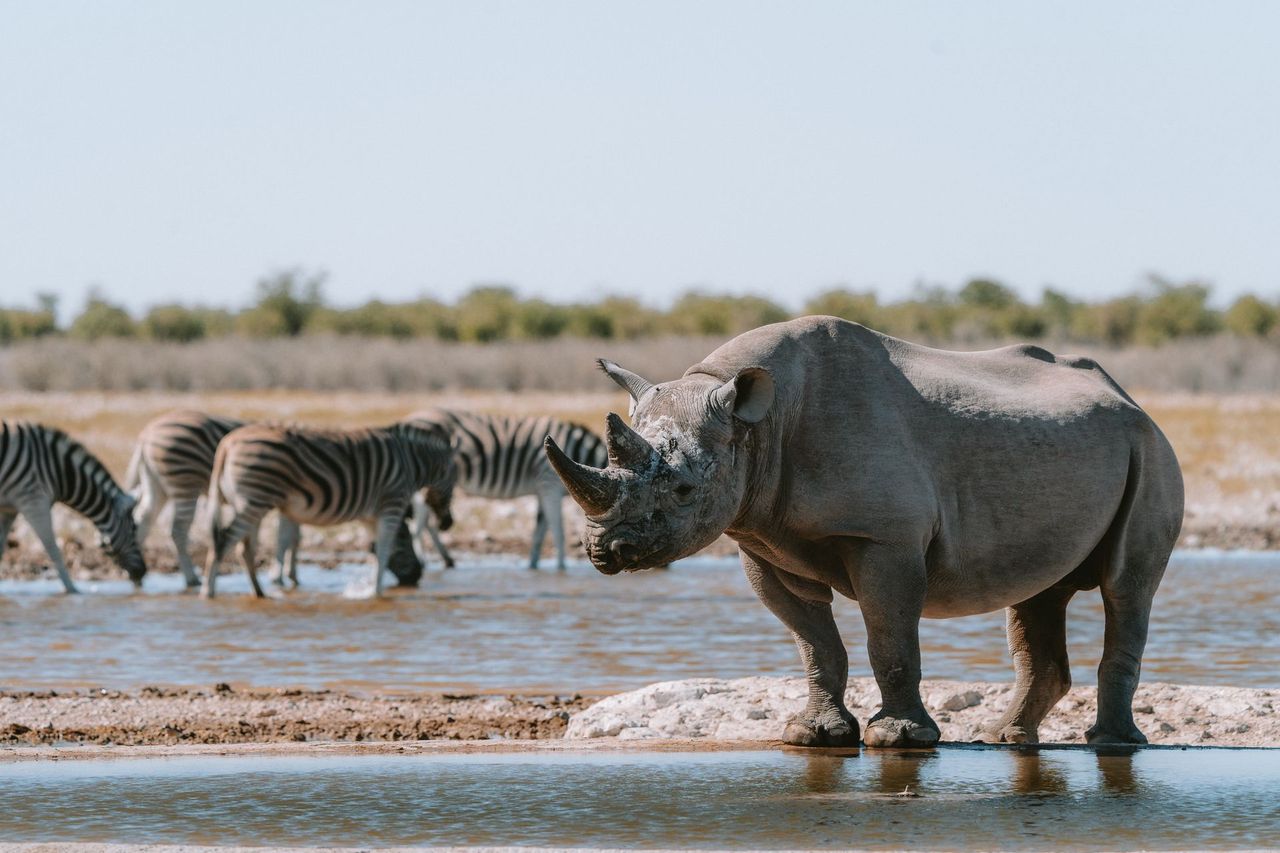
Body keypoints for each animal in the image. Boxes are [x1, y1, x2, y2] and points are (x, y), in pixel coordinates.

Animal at [0, 420, 146, 592]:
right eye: (133, 530)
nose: (143, 572)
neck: (59, 471)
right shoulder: (33, 502)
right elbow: (53, 549)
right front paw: (71, 589)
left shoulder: (10, 510)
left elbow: (0, 547)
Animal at [127, 410, 428, 589]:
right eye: (403, 539)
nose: (416, 577)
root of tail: (146, 434)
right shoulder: (293, 500)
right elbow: (287, 538)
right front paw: (281, 576)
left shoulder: (294, 502)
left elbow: (294, 537)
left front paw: (290, 575)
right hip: (184, 483)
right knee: (178, 529)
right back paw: (191, 578)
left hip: (158, 486)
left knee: (142, 519)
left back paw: (134, 569)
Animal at [203, 420, 457, 598]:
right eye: (454, 482)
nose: (448, 524)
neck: (411, 461)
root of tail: (227, 444)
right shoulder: (392, 502)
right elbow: (385, 549)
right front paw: (377, 592)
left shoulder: (370, 515)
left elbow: (376, 549)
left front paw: (372, 589)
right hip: (254, 500)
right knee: (222, 542)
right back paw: (208, 592)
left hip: (251, 503)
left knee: (245, 549)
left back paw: (259, 592)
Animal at [405, 409, 607, 570]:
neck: (578, 455)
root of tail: (413, 416)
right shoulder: (550, 484)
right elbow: (558, 532)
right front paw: (562, 569)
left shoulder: (542, 491)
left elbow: (539, 533)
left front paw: (533, 566)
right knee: (419, 522)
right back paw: (422, 562)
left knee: (428, 522)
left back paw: (447, 560)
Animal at [544, 316, 1184, 748]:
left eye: (682, 490)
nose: (606, 551)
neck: (757, 426)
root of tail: (1128, 397)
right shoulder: (761, 540)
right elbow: (814, 642)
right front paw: (813, 735)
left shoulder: (884, 539)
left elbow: (889, 637)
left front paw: (898, 740)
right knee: (1038, 594)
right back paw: (1004, 738)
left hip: (1150, 447)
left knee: (1126, 587)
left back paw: (1111, 744)